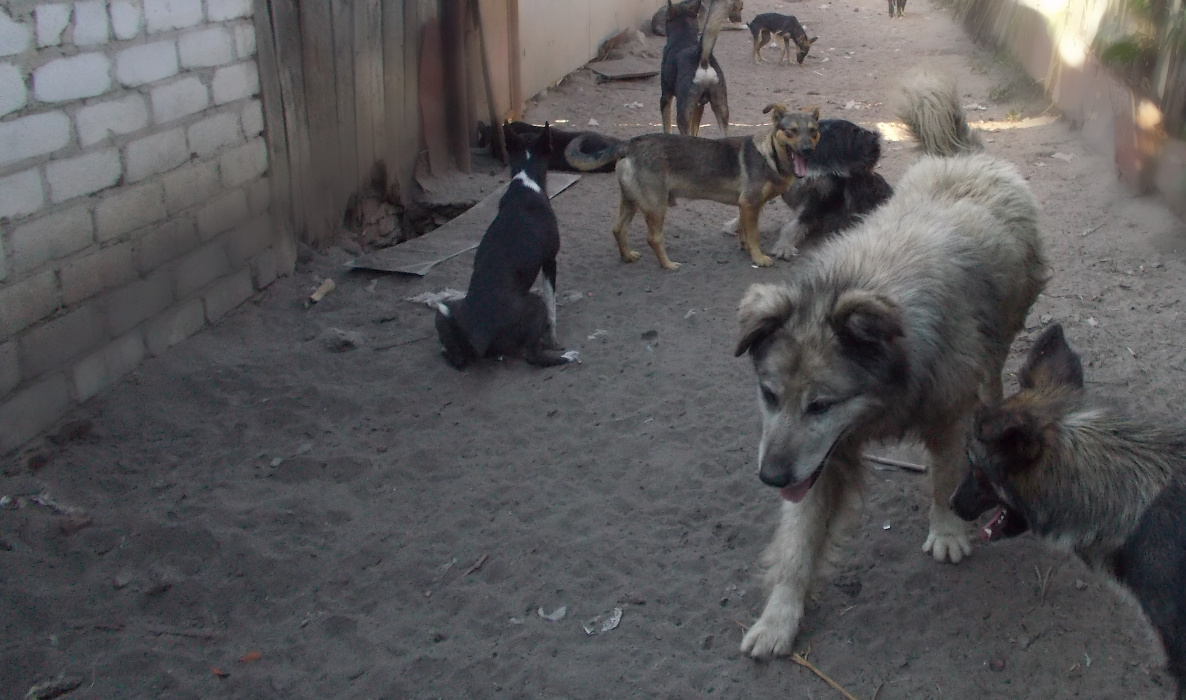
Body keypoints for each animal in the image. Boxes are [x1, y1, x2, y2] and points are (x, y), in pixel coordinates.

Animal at [438, 123, 581, 370]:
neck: (526, 182)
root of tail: (479, 337)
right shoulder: (550, 261)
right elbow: (552, 306)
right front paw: (553, 340)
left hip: (447, 309)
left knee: (458, 360)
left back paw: (447, 351)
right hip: (534, 304)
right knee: (533, 356)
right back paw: (567, 357)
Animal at [730, 74, 1048, 659]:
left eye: (821, 405)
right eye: (769, 395)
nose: (770, 477)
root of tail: (960, 153)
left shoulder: (947, 415)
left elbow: (945, 479)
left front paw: (946, 531)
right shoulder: (820, 462)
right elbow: (797, 542)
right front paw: (780, 615)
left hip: (1003, 330)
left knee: (992, 373)